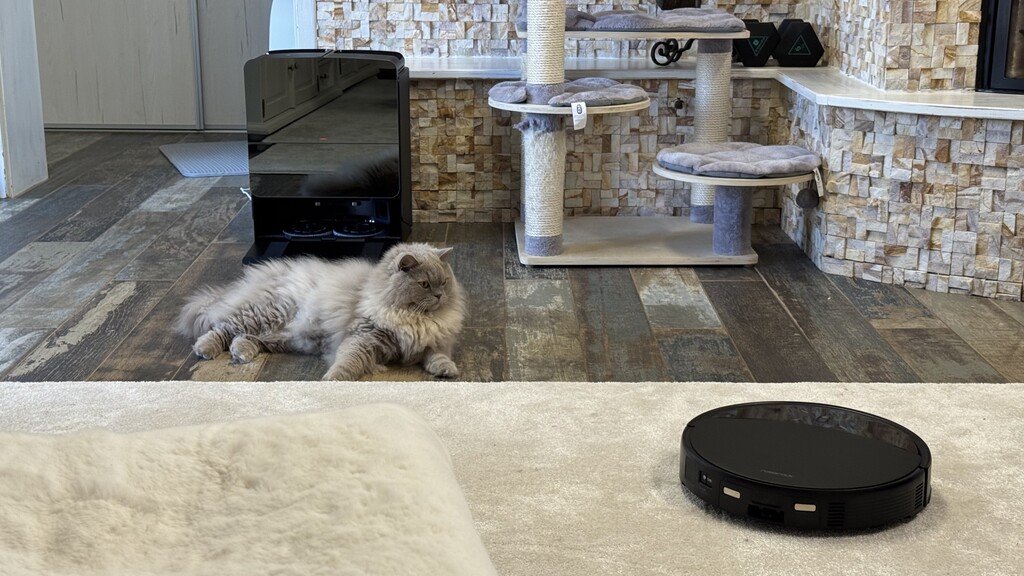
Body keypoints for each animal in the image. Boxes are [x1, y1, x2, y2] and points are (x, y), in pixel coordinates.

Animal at [176, 242, 465, 381]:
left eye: (443, 283)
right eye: (424, 284)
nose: (439, 295)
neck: (414, 319)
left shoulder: (432, 342)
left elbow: (438, 357)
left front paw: (446, 371)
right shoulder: (363, 337)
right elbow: (348, 361)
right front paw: (334, 378)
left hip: (279, 336)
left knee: (242, 338)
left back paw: (241, 354)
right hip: (262, 313)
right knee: (221, 328)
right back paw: (206, 349)